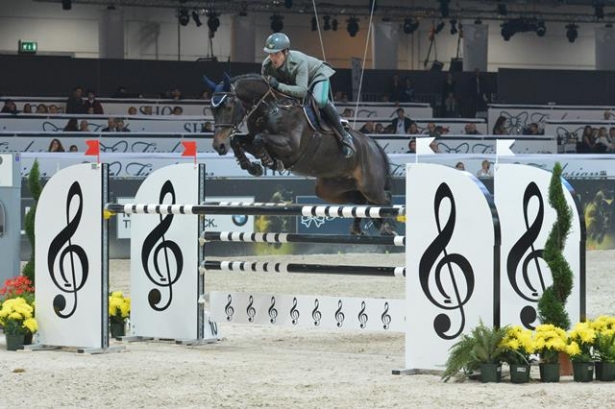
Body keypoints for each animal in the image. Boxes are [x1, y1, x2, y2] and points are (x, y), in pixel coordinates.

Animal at [203, 71, 394, 234]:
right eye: (212, 109)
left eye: (228, 107)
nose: (218, 146)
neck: (269, 108)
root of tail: (373, 145)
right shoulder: (252, 138)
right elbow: (239, 140)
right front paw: (253, 167)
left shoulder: (290, 146)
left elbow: (259, 138)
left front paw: (268, 161)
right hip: (330, 189)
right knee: (359, 201)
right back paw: (357, 229)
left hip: (370, 186)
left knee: (384, 200)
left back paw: (387, 227)